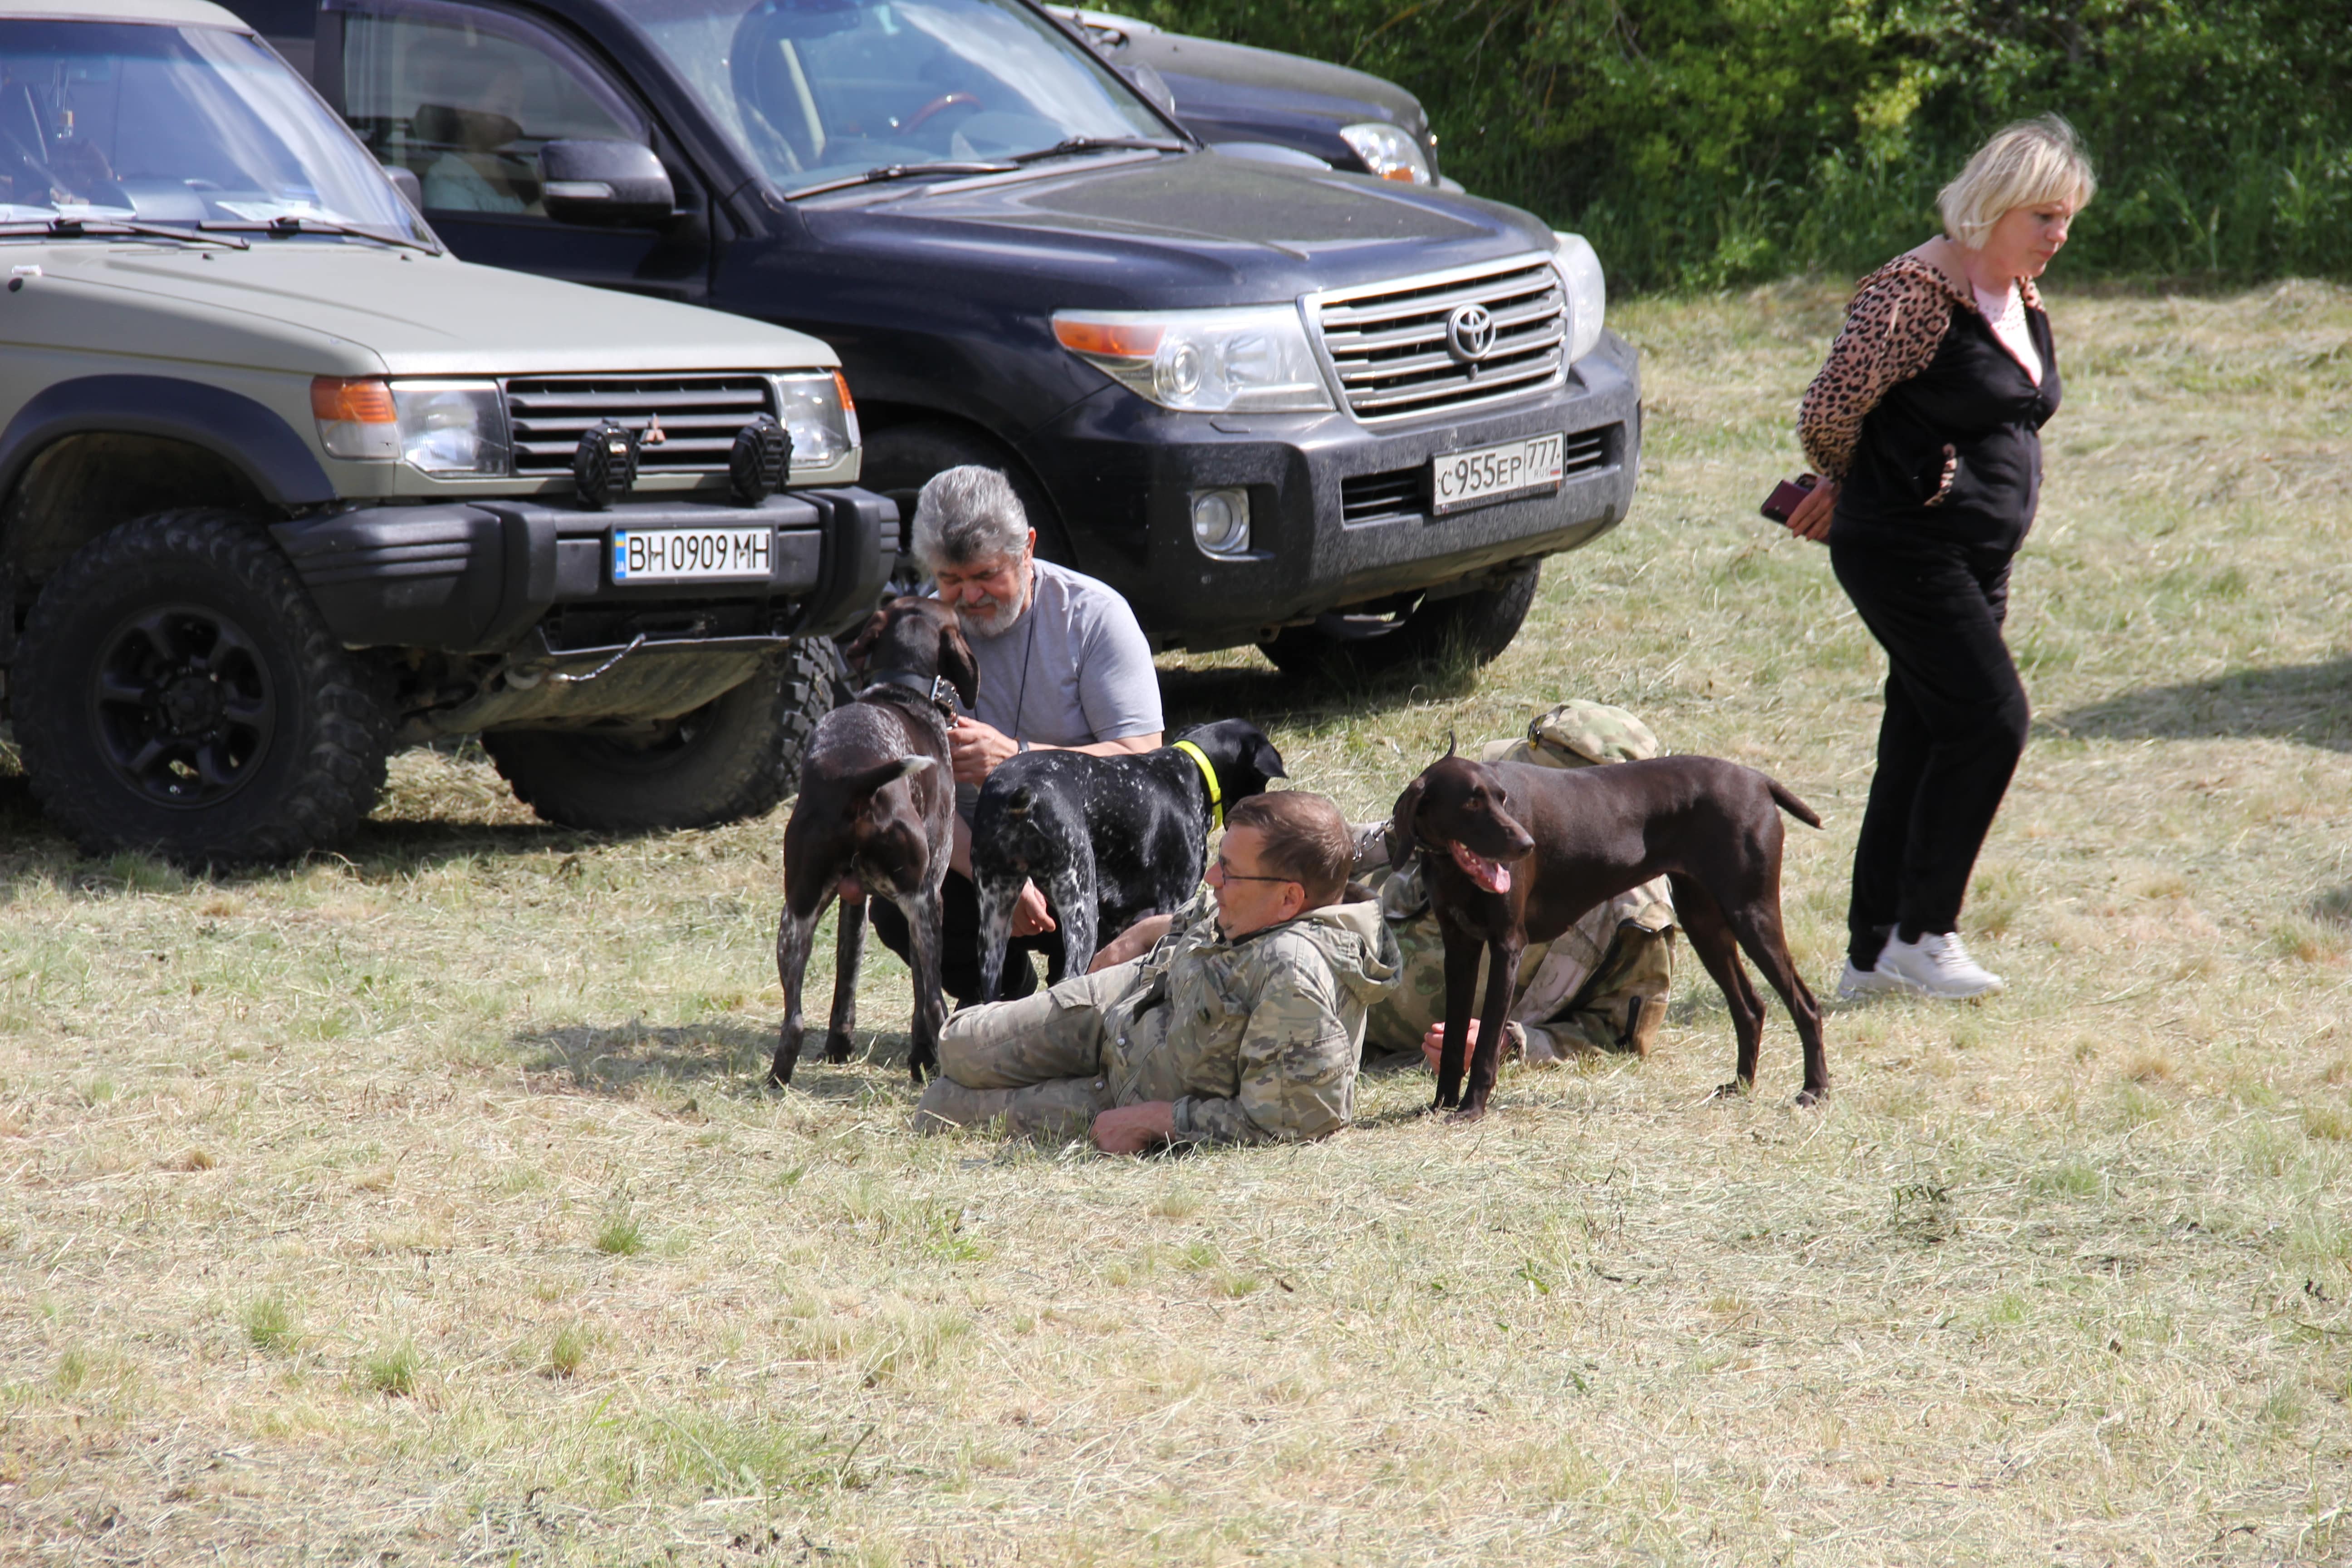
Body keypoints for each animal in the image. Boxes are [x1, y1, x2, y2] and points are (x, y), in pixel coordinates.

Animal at [771, 597, 976, 1086]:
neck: (900, 690)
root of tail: (856, 781)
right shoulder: (926, 893)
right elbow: (922, 997)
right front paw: (921, 1059)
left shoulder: (853, 901)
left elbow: (846, 976)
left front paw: (839, 1048)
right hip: (924, 905)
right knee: (934, 1003)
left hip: (796, 914)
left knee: (794, 1020)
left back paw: (778, 1079)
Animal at [968, 718, 1286, 1000]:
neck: (1190, 774)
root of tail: (1015, 795)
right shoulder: (1173, 900)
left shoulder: (1118, 922)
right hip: (1080, 903)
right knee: (1069, 977)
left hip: (994, 921)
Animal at [1392, 750, 1828, 1119]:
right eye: (1471, 802)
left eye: (1502, 799)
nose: (1526, 845)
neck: (1451, 867)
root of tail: (1756, 779)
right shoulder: (1460, 950)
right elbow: (1453, 1042)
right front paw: (1441, 1105)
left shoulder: (1506, 947)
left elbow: (1483, 1045)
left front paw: (1471, 1109)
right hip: (1706, 926)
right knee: (1750, 1008)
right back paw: (1741, 1086)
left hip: (1752, 916)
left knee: (1805, 1005)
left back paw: (1815, 1090)